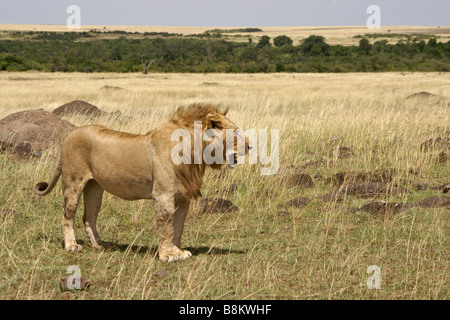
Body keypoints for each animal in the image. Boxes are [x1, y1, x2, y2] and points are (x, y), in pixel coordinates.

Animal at [35, 103, 251, 262]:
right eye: (235, 133)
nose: (250, 146)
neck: (194, 152)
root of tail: (68, 136)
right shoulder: (163, 195)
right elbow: (166, 227)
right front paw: (167, 255)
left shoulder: (183, 198)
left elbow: (178, 227)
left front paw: (179, 252)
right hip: (73, 182)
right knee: (67, 216)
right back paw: (71, 246)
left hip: (95, 188)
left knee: (89, 216)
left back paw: (99, 245)